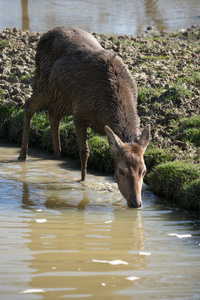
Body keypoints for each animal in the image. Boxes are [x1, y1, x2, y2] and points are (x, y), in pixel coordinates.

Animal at [18, 26, 150, 209]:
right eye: (121, 170)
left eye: (144, 171)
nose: (136, 203)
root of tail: (45, 35)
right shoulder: (80, 113)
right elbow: (84, 151)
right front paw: (82, 181)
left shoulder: (77, 108)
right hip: (44, 83)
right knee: (29, 106)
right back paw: (23, 155)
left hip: (64, 99)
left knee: (52, 113)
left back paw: (58, 157)